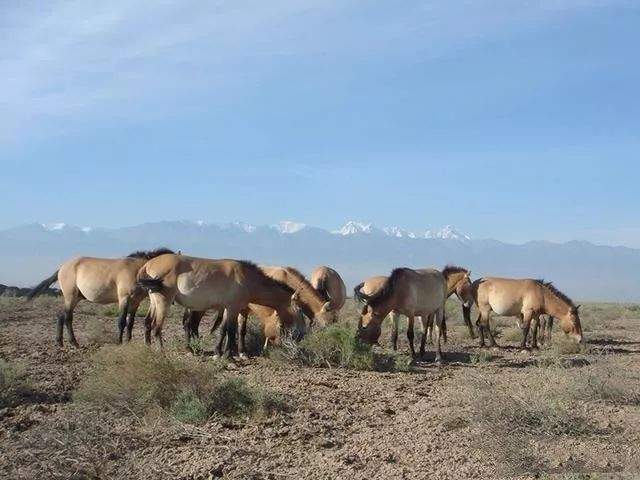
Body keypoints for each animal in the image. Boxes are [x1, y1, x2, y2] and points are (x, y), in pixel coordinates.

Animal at [26, 249, 174, 346]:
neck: (137, 270)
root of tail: (62, 268)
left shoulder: (135, 302)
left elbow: (130, 323)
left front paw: (128, 341)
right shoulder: (124, 299)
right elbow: (121, 321)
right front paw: (119, 342)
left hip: (75, 298)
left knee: (61, 316)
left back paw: (60, 342)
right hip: (70, 297)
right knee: (68, 317)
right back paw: (74, 343)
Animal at [137, 255, 300, 356]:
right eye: (298, 310)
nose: (299, 334)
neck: (246, 277)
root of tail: (148, 264)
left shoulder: (228, 309)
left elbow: (224, 330)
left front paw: (220, 353)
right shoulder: (234, 308)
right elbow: (231, 331)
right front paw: (229, 356)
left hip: (154, 301)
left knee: (148, 323)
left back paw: (148, 348)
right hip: (163, 302)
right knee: (157, 328)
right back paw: (162, 352)